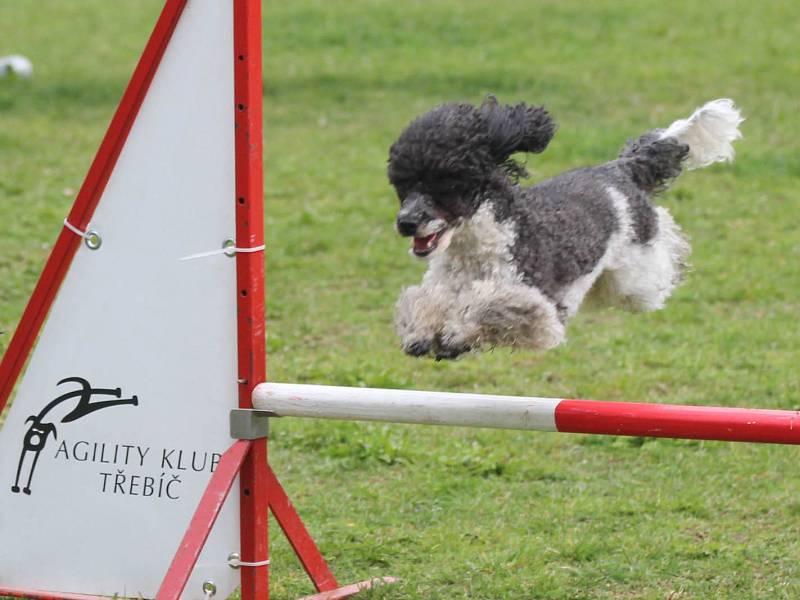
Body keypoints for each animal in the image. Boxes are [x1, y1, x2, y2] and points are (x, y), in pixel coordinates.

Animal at [388, 96, 744, 358]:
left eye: (446, 182)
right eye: (402, 183)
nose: (406, 222)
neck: (477, 249)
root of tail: (618, 168)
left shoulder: (540, 305)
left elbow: (491, 306)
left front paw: (454, 334)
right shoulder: (443, 285)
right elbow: (422, 300)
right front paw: (422, 331)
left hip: (636, 275)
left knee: (660, 254)